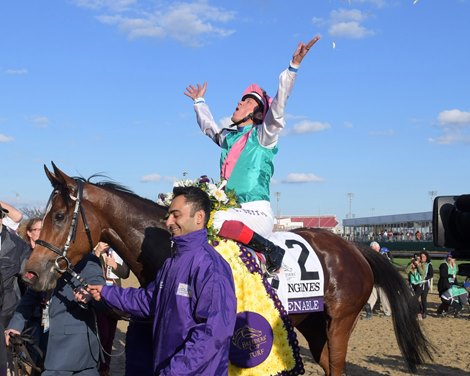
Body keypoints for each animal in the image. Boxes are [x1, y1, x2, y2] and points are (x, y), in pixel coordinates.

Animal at [22, 163, 434, 374]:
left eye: (59, 216)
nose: (31, 272)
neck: (170, 245)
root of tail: (355, 248)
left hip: (341, 322)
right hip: (314, 324)